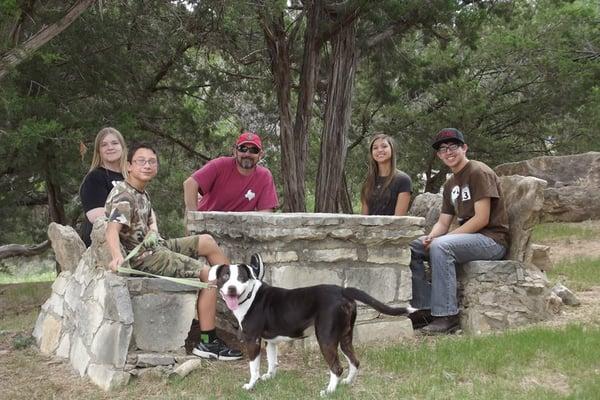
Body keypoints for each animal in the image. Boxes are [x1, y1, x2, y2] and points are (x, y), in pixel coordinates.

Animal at [210, 255, 412, 396]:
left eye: (241, 278)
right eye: (226, 276)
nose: (232, 289)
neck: (250, 295)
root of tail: (343, 290)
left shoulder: (252, 340)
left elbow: (253, 367)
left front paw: (251, 384)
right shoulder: (271, 340)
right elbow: (273, 361)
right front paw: (269, 377)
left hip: (326, 339)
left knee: (337, 367)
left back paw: (329, 391)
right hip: (345, 337)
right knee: (354, 361)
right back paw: (347, 382)